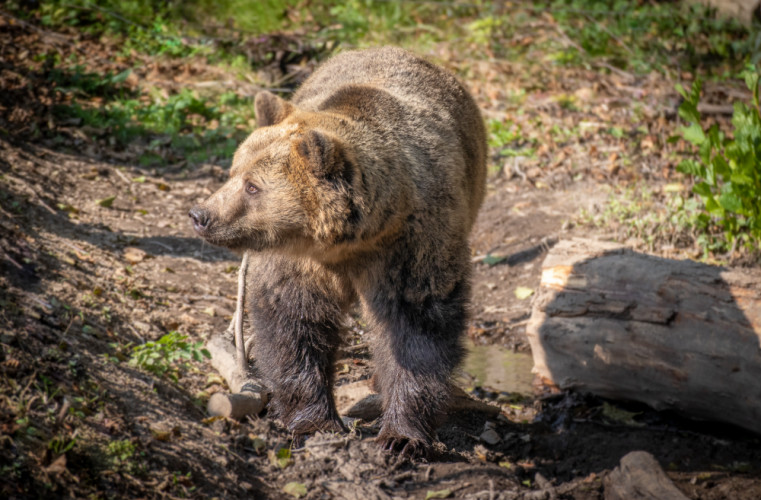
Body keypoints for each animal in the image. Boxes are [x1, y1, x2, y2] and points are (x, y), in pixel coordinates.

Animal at [190, 47, 486, 458]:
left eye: (252, 186)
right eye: (233, 172)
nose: (201, 215)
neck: (349, 242)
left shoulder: (413, 245)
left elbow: (417, 328)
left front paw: (402, 437)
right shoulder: (299, 260)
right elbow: (294, 323)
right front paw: (315, 424)